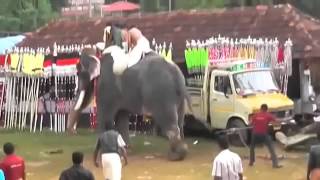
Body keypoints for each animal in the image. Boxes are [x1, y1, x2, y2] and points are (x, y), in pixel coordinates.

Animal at [67, 25, 191, 160]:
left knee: (170, 124)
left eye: (79, 73)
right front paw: (126, 148)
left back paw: (175, 156)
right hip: (176, 97)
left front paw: (103, 152)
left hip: (162, 93)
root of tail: (177, 74)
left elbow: (106, 117)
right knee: (180, 121)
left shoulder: (106, 86)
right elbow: (122, 117)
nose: (74, 132)